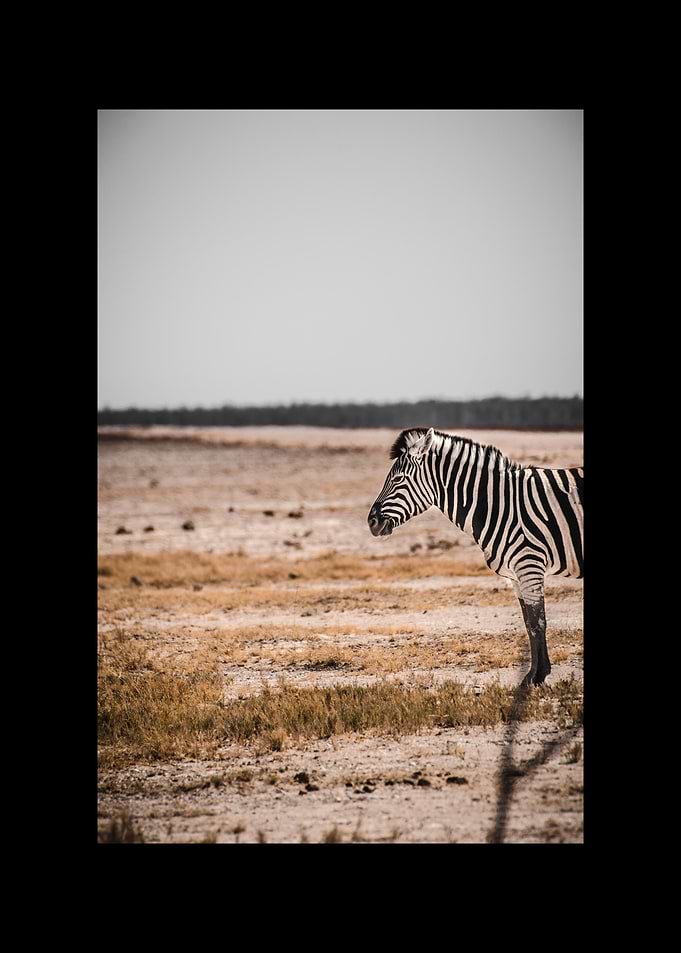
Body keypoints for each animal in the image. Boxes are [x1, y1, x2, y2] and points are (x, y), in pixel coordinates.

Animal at [367, 427, 583, 688]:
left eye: (398, 480)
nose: (371, 522)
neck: (500, 505)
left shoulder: (529, 565)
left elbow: (537, 622)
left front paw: (539, 676)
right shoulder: (516, 575)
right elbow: (528, 623)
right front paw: (532, 674)